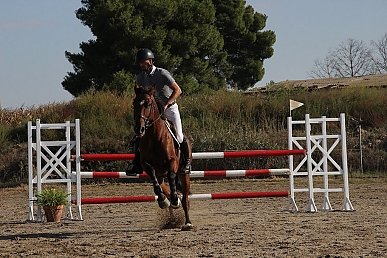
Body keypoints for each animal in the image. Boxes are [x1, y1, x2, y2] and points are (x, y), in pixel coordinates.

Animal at [133, 84, 194, 232]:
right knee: (162, 187)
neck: (154, 136)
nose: (139, 129)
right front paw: (163, 200)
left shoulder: (172, 162)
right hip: (161, 175)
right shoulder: (146, 164)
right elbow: (154, 180)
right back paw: (169, 206)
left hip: (184, 174)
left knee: (185, 200)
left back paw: (187, 222)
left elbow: (171, 176)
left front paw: (175, 199)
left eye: (148, 104)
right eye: (134, 104)